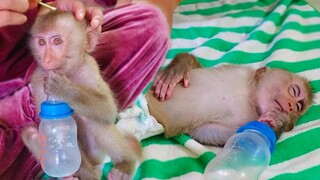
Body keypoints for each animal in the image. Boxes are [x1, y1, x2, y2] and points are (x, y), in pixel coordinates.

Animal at [20, 10, 139, 179]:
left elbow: (108, 110)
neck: (67, 73)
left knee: (94, 120)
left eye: (57, 41)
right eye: (42, 43)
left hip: (96, 151)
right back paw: (74, 175)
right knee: (29, 134)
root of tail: (96, 162)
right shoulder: (37, 79)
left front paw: (64, 90)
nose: (46, 59)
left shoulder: (89, 67)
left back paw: (125, 163)